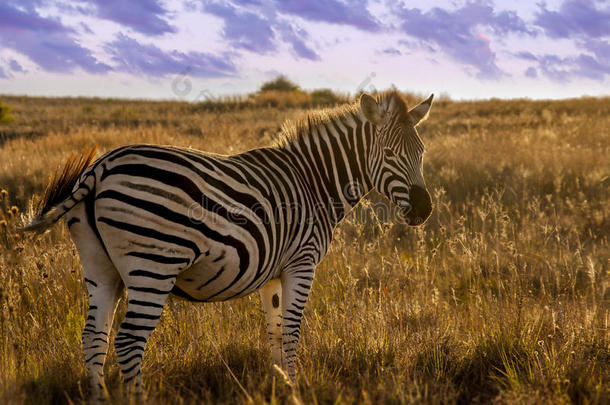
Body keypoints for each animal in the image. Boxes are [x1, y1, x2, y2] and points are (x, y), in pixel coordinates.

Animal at [22, 89, 432, 398]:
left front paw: (282, 386)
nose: (424, 210)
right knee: (128, 341)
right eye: (390, 155)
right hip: (152, 266)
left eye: (422, 152)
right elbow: (292, 331)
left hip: (100, 268)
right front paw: (297, 388)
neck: (314, 181)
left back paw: (101, 398)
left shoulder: (273, 272)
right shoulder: (302, 262)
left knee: (94, 338)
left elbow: (275, 332)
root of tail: (99, 168)